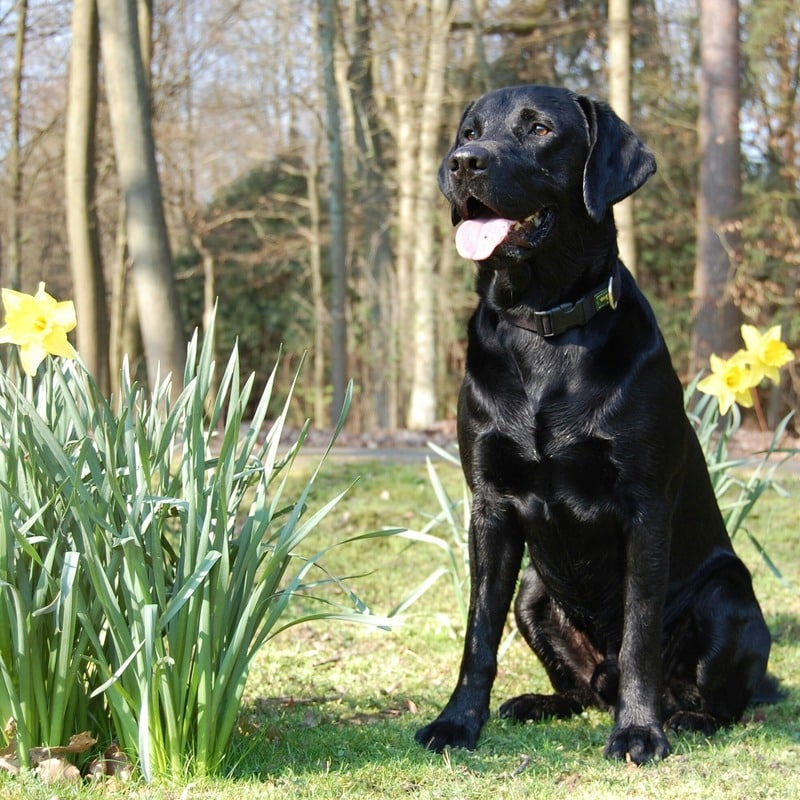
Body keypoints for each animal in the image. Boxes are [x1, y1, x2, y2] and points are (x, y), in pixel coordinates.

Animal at [416, 84, 772, 764]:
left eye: (538, 129)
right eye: (469, 131)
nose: (464, 162)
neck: (545, 325)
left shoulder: (644, 508)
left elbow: (639, 638)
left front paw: (639, 731)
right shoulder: (489, 506)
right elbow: (478, 635)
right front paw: (457, 723)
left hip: (727, 596)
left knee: (716, 697)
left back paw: (684, 716)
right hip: (534, 590)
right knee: (579, 689)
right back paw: (541, 702)